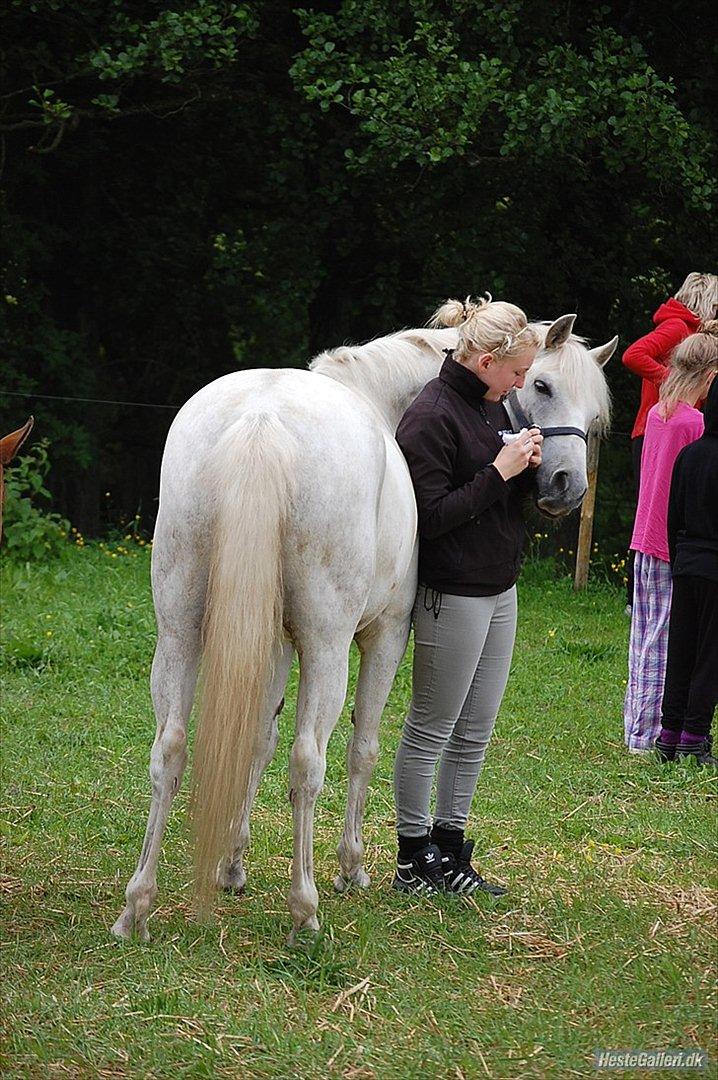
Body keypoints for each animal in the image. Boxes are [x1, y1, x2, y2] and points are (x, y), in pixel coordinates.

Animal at [112, 315, 617, 946]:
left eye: (595, 413)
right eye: (541, 384)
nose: (566, 484)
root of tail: (260, 421)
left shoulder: (271, 642)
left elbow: (257, 738)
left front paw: (232, 865)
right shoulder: (386, 637)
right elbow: (363, 747)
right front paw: (351, 867)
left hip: (179, 634)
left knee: (170, 751)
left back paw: (138, 906)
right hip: (328, 650)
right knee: (309, 763)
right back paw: (304, 911)